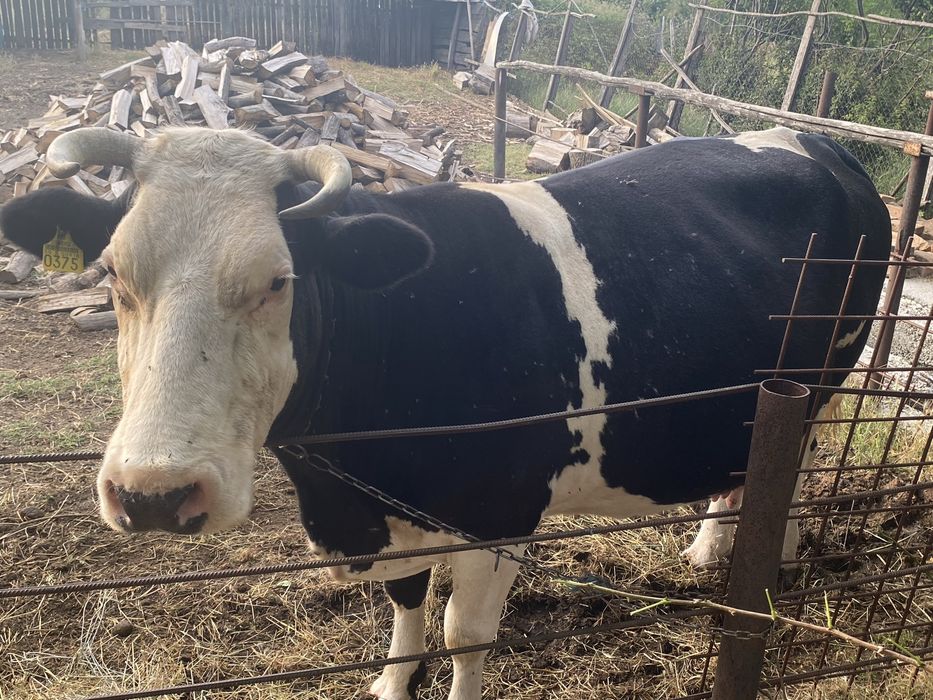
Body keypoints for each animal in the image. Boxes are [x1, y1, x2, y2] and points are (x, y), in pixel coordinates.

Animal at [0, 126, 889, 700]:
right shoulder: (392, 516)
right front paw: (391, 682)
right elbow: (405, 602)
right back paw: (708, 546)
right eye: (114, 273)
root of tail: (819, 143)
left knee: (797, 456)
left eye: (278, 280)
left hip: (825, 374)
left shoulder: (502, 512)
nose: (152, 493)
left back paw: (775, 556)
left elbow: (467, 634)